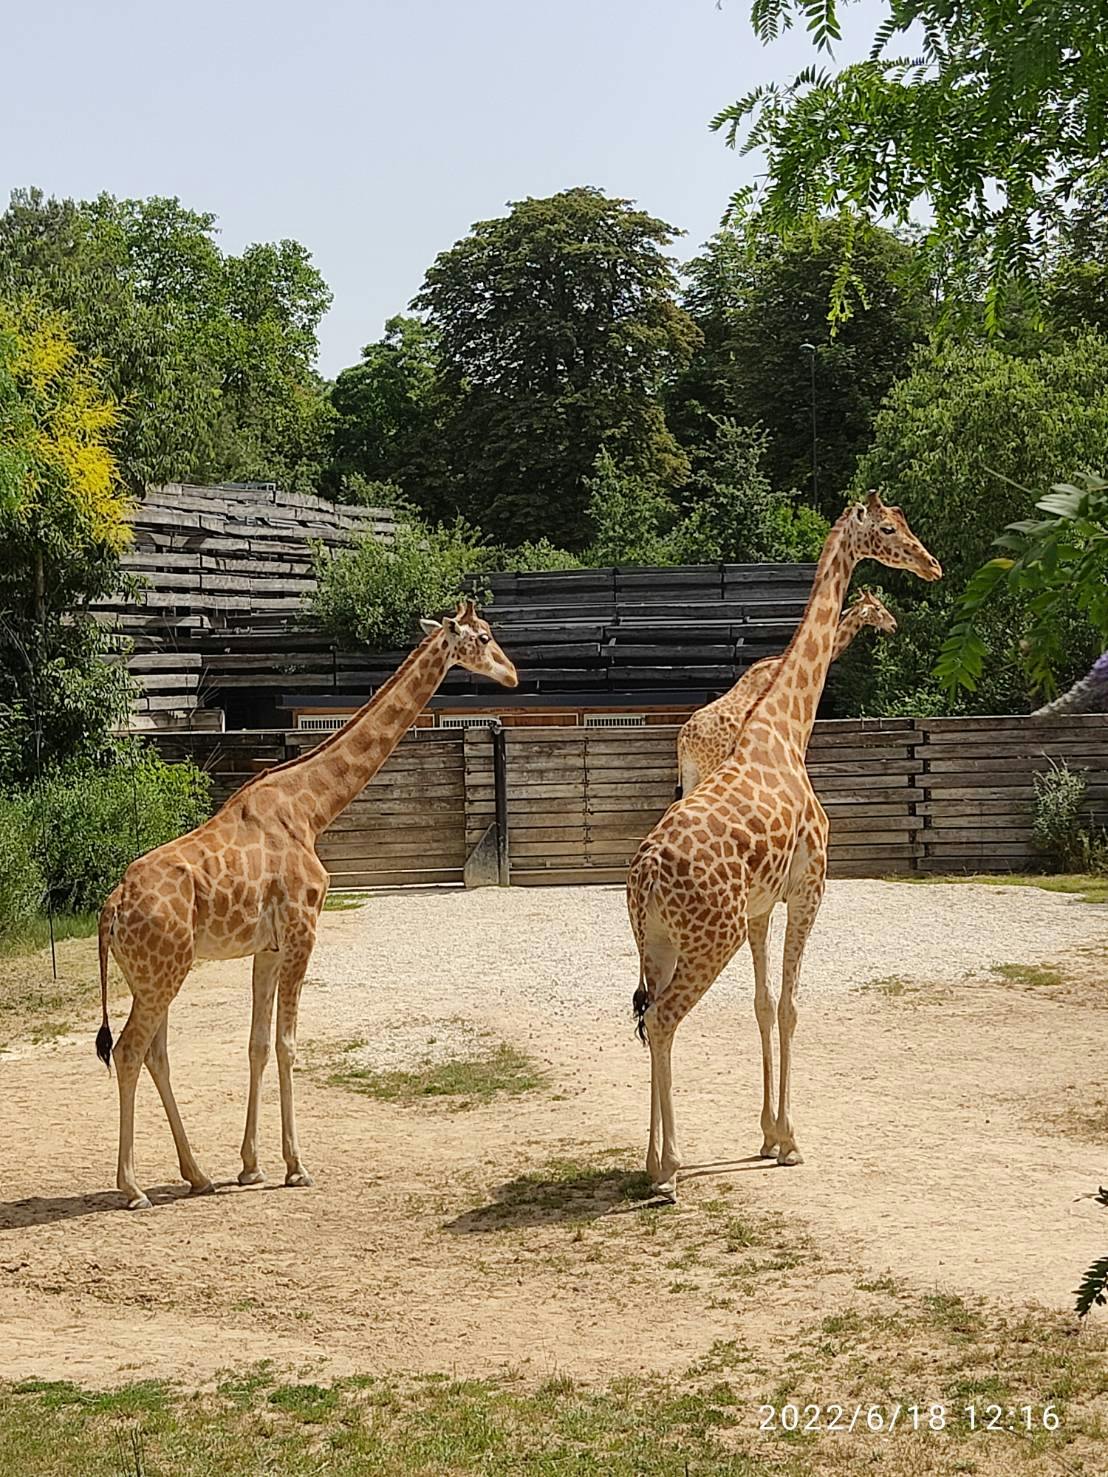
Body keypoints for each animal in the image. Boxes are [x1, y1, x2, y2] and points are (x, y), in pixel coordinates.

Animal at [96, 600, 517, 1210]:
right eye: (482, 637)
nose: (512, 676)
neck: (312, 807)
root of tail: (110, 907)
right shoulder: (303, 930)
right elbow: (289, 1043)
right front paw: (296, 1166)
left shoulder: (267, 948)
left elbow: (256, 1045)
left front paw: (250, 1167)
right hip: (162, 971)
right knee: (130, 1051)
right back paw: (131, 1188)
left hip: (154, 973)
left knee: (155, 1053)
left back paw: (197, 1175)